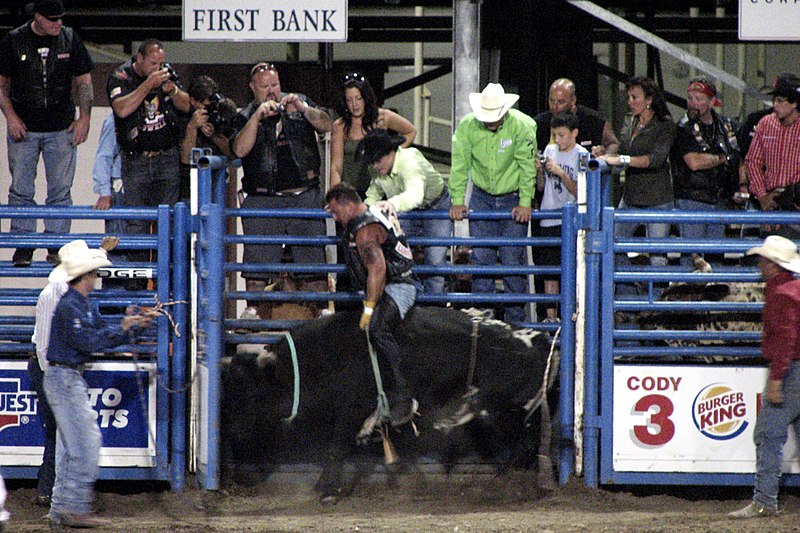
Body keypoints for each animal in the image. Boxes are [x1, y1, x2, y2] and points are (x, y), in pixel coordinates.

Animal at [219, 306, 556, 500]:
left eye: (241, 425)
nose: (240, 480)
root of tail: (539, 340)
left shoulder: (351, 413)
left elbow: (336, 449)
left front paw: (327, 489)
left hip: (503, 409)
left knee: (529, 440)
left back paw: (513, 480)